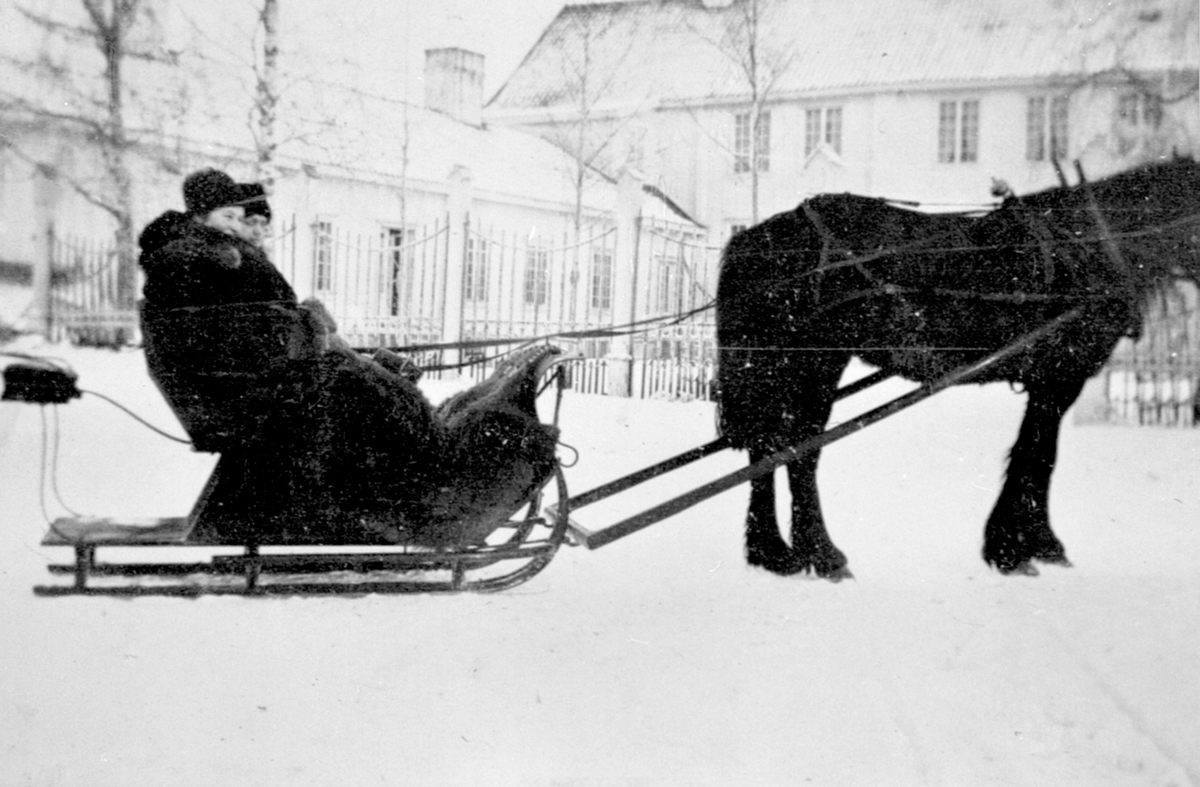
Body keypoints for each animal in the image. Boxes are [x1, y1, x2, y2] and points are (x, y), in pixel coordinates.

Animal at [715, 158, 1200, 578]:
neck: (1094, 242)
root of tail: (758, 237)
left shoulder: (1047, 381)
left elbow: (1031, 453)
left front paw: (1019, 545)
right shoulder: (1060, 377)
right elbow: (1040, 456)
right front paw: (1024, 548)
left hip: (781, 367)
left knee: (766, 446)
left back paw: (773, 553)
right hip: (814, 362)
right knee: (799, 450)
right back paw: (822, 553)